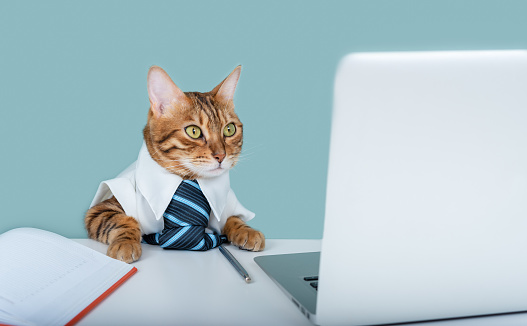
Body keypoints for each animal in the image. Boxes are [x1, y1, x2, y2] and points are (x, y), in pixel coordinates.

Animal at [85, 65, 264, 262]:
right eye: (193, 131)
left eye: (229, 129)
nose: (221, 155)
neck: (187, 178)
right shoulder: (100, 209)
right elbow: (123, 221)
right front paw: (125, 242)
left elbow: (234, 218)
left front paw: (247, 230)